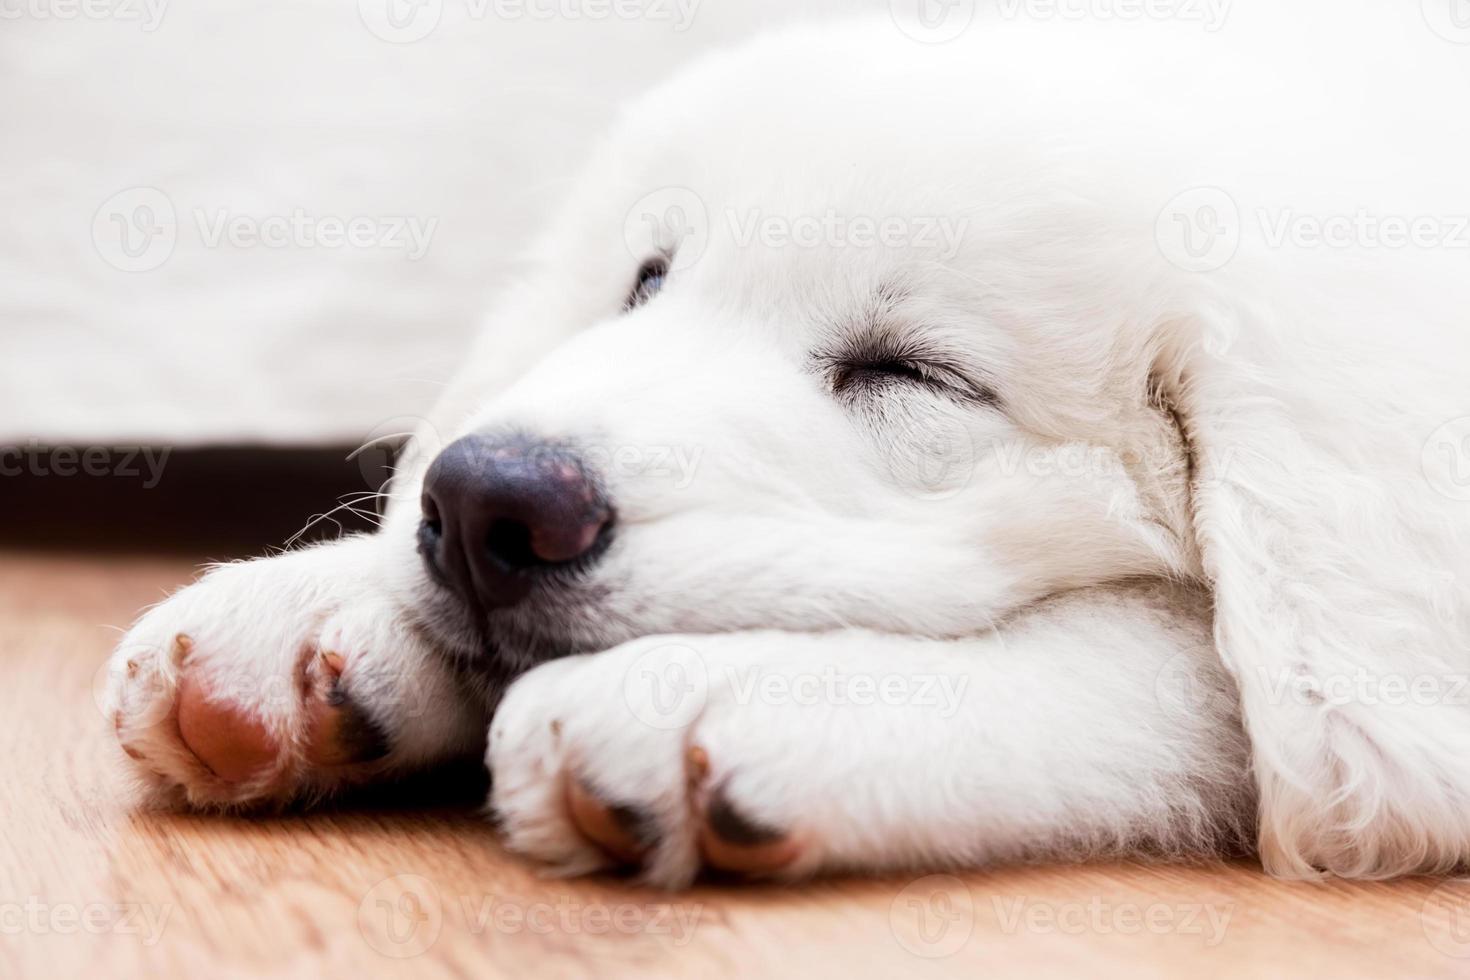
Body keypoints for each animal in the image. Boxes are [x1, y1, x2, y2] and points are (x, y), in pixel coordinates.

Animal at [106, 5, 1470, 887]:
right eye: (648, 281)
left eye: (914, 374)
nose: (491, 506)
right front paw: (319, 612)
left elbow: (1203, 667)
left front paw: (727, 692)